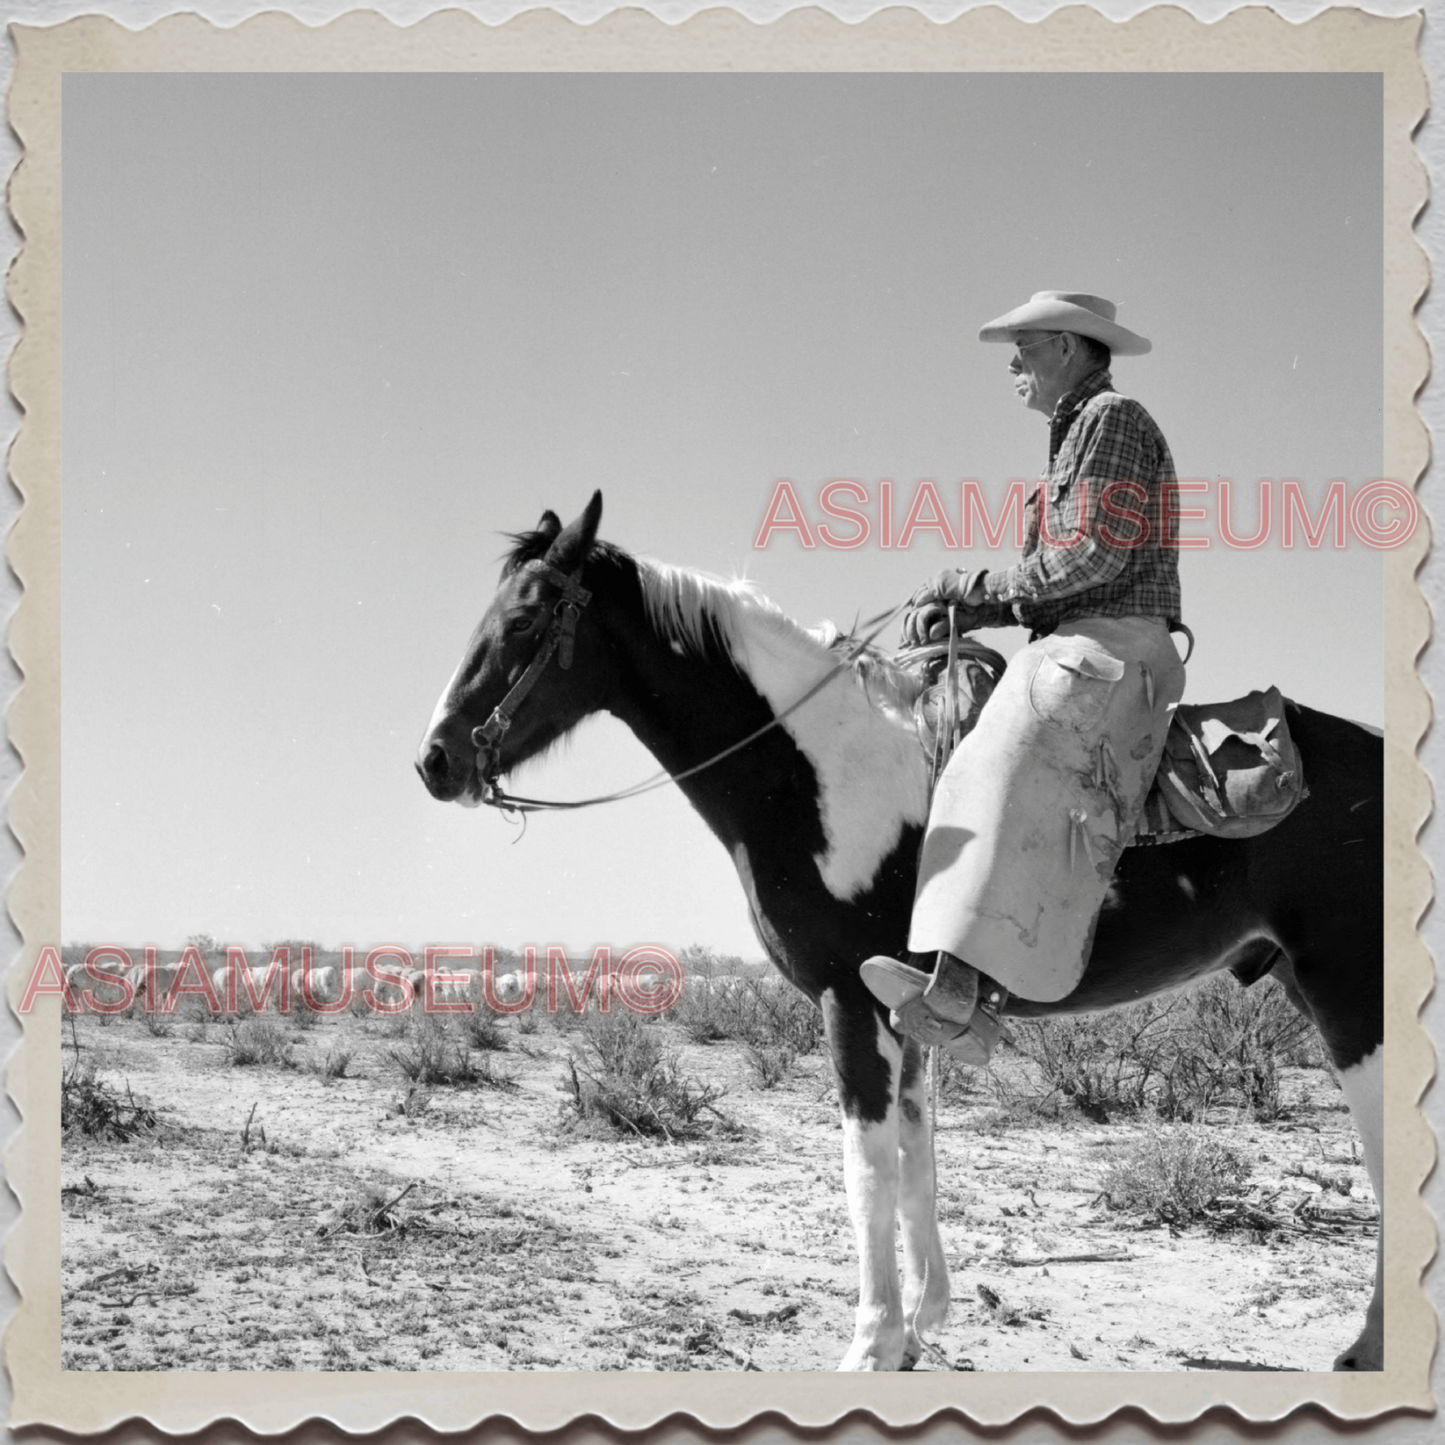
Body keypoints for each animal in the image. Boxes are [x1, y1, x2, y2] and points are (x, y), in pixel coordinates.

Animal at [413, 491, 1381, 1369]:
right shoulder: (909, 1009)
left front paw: (871, 1342)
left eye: (525, 617)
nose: (435, 759)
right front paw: (920, 1326)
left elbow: (867, 1164)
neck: (821, 770)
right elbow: (918, 1152)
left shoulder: (846, 996)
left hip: (1347, 988)